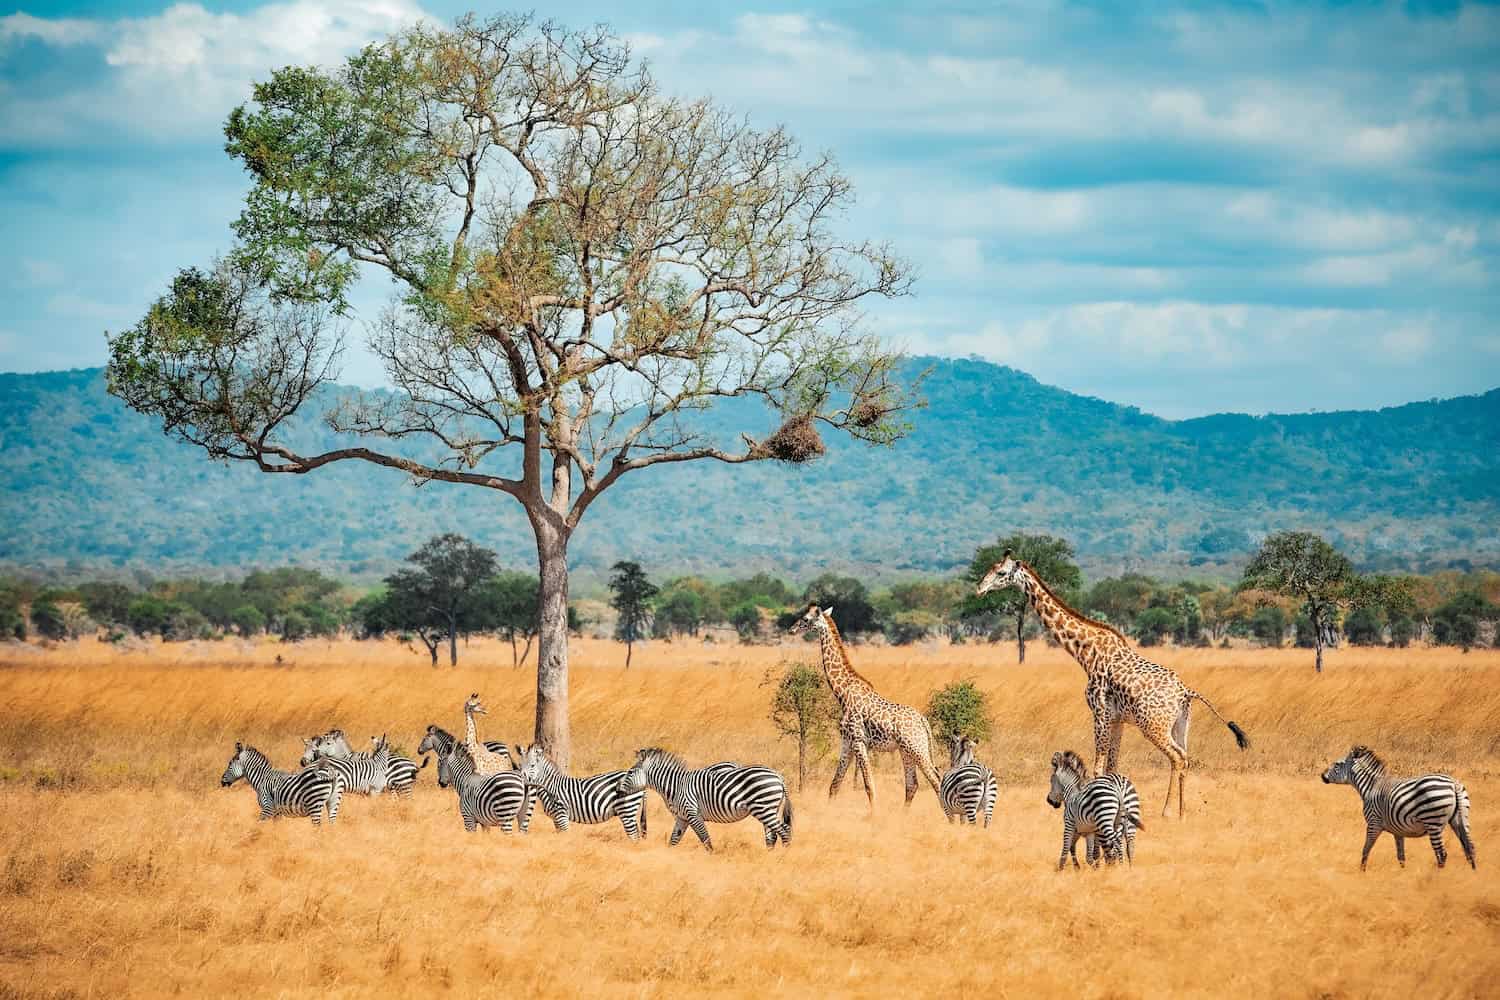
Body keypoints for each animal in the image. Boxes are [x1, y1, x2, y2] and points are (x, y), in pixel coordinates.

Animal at [515, 744, 648, 839]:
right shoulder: (556, 819)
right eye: (520, 765)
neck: (550, 786)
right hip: (631, 810)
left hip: (626, 809)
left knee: (634, 836)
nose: (521, 778)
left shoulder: (562, 815)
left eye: (532, 765)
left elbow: (566, 837)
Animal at [618, 748, 792, 852]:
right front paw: (669, 857)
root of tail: (779, 776)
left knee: (784, 830)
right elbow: (674, 840)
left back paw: (784, 857)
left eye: (630, 772)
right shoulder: (682, 817)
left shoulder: (693, 813)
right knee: (772, 835)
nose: (618, 791)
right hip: (768, 809)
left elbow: (705, 839)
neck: (676, 785)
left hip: (764, 807)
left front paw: (712, 858)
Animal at [789, 603, 942, 810]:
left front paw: (873, 814)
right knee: (913, 785)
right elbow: (834, 784)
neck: (842, 691)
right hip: (906, 750)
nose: (791, 629)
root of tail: (923, 720)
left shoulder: (859, 740)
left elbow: (868, 784)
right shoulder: (847, 741)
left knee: (936, 780)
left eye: (805, 619)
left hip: (916, 747)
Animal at [977, 551, 1249, 818]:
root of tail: (1185, 692)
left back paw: (1168, 811)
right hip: (1180, 725)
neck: (1086, 653)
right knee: (1186, 757)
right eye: (990, 568)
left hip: (1154, 727)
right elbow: (1112, 767)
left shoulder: (1100, 713)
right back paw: (1183, 812)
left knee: (1177, 758)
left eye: (1001, 572)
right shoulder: (1118, 719)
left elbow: (1098, 769)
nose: (980, 588)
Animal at [1321, 745, 1476, 871]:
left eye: (1337, 764)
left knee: (1442, 854)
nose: (1322, 776)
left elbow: (1365, 849)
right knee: (1469, 848)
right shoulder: (1398, 830)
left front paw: (1362, 872)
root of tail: (1454, 784)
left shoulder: (1373, 823)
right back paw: (1472, 874)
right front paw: (1402, 873)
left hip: (1433, 821)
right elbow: (1401, 855)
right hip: (1460, 819)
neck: (1371, 787)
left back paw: (1437, 877)